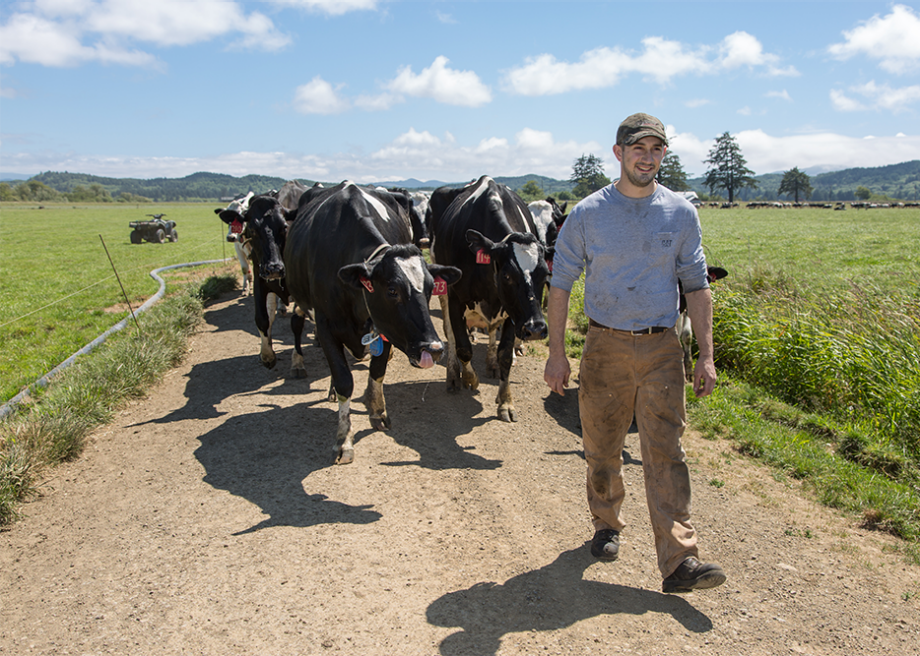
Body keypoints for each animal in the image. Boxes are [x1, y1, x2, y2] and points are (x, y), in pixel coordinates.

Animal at [214, 184, 308, 380]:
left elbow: (297, 322)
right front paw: (267, 355)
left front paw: (297, 361)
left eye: (284, 227)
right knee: (270, 314)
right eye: (253, 229)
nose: (274, 268)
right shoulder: (260, 277)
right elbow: (262, 318)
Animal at [284, 182, 460, 464]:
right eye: (392, 290)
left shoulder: (384, 328)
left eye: (430, 288)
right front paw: (343, 440)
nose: (433, 348)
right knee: (299, 325)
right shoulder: (325, 324)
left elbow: (377, 370)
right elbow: (344, 378)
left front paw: (377, 410)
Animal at [430, 174, 548, 420]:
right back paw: (453, 375)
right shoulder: (456, 300)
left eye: (545, 274)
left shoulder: (514, 313)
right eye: (507, 275)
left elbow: (505, 355)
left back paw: (491, 364)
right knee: (450, 333)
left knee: (493, 330)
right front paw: (470, 379)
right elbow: (463, 346)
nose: (536, 328)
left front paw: (505, 401)